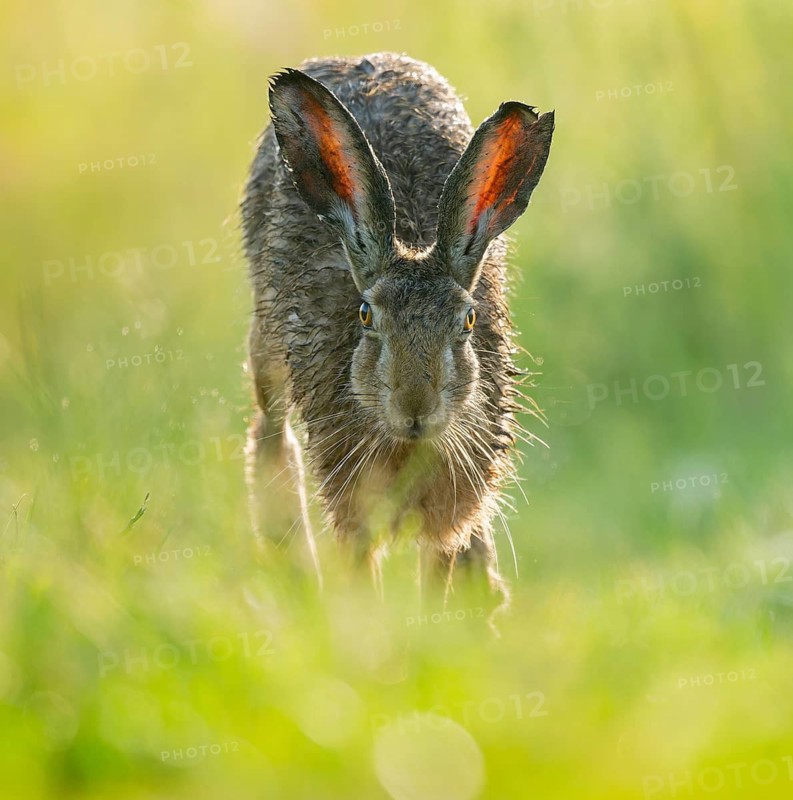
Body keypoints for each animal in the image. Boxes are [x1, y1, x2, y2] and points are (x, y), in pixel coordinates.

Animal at [241, 52, 554, 604]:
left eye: (468, 319)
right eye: (366, 315)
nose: (415, 407)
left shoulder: (450, 511)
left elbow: (439, 572)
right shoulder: (353, 506)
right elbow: (362, 572)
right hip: (268, 351)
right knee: (272, 434)